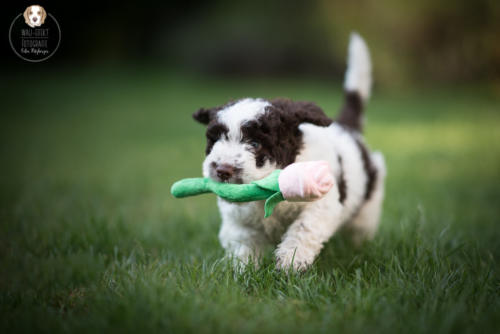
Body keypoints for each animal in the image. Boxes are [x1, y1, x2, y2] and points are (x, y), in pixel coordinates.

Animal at [192, 32, 386, 270]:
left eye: (255, 144)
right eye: (214, 140)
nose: (222, 170)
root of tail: (347, 127)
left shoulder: (322, 204)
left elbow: (303, 229)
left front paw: (290, 262)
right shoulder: (239, 219)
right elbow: (243, 243)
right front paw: (242, 270)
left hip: (369, 199)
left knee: (361, 226)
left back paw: (359, 248)